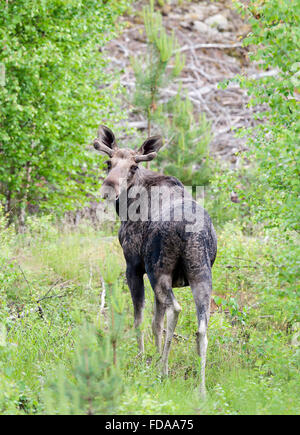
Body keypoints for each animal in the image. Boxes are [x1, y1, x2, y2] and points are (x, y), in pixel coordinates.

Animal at [93, 124, 216, 396]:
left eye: (133, 167)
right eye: (108, 162)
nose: (109, 188)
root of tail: (189, 231)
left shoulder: (133, 266)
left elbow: (139, 318)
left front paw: (143, 359)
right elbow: (154, 322)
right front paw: (156, 355)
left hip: (159, 271)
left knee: (175, 309)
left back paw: (164, 371)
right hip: (200, 273)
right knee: (201, 327)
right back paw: (201, 389)